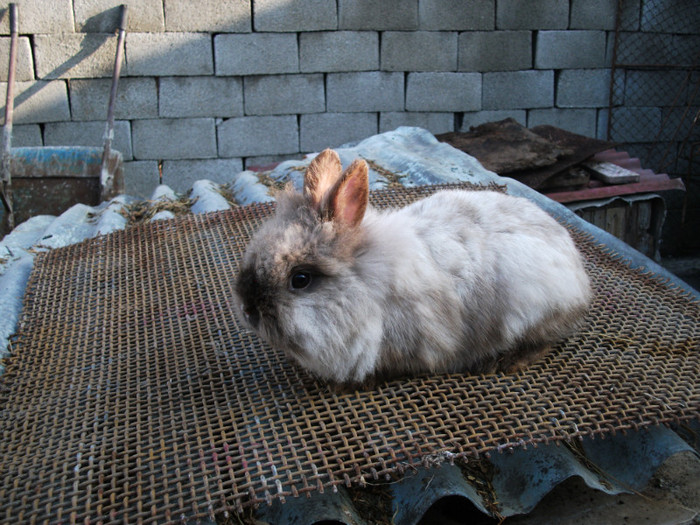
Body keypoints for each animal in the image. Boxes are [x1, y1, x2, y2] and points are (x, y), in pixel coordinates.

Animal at [235, 147, 592, 384]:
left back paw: (506, 362)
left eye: (300, 279)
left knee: (546, 339)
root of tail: (578, 275)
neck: (366, 282)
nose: (248, 310)